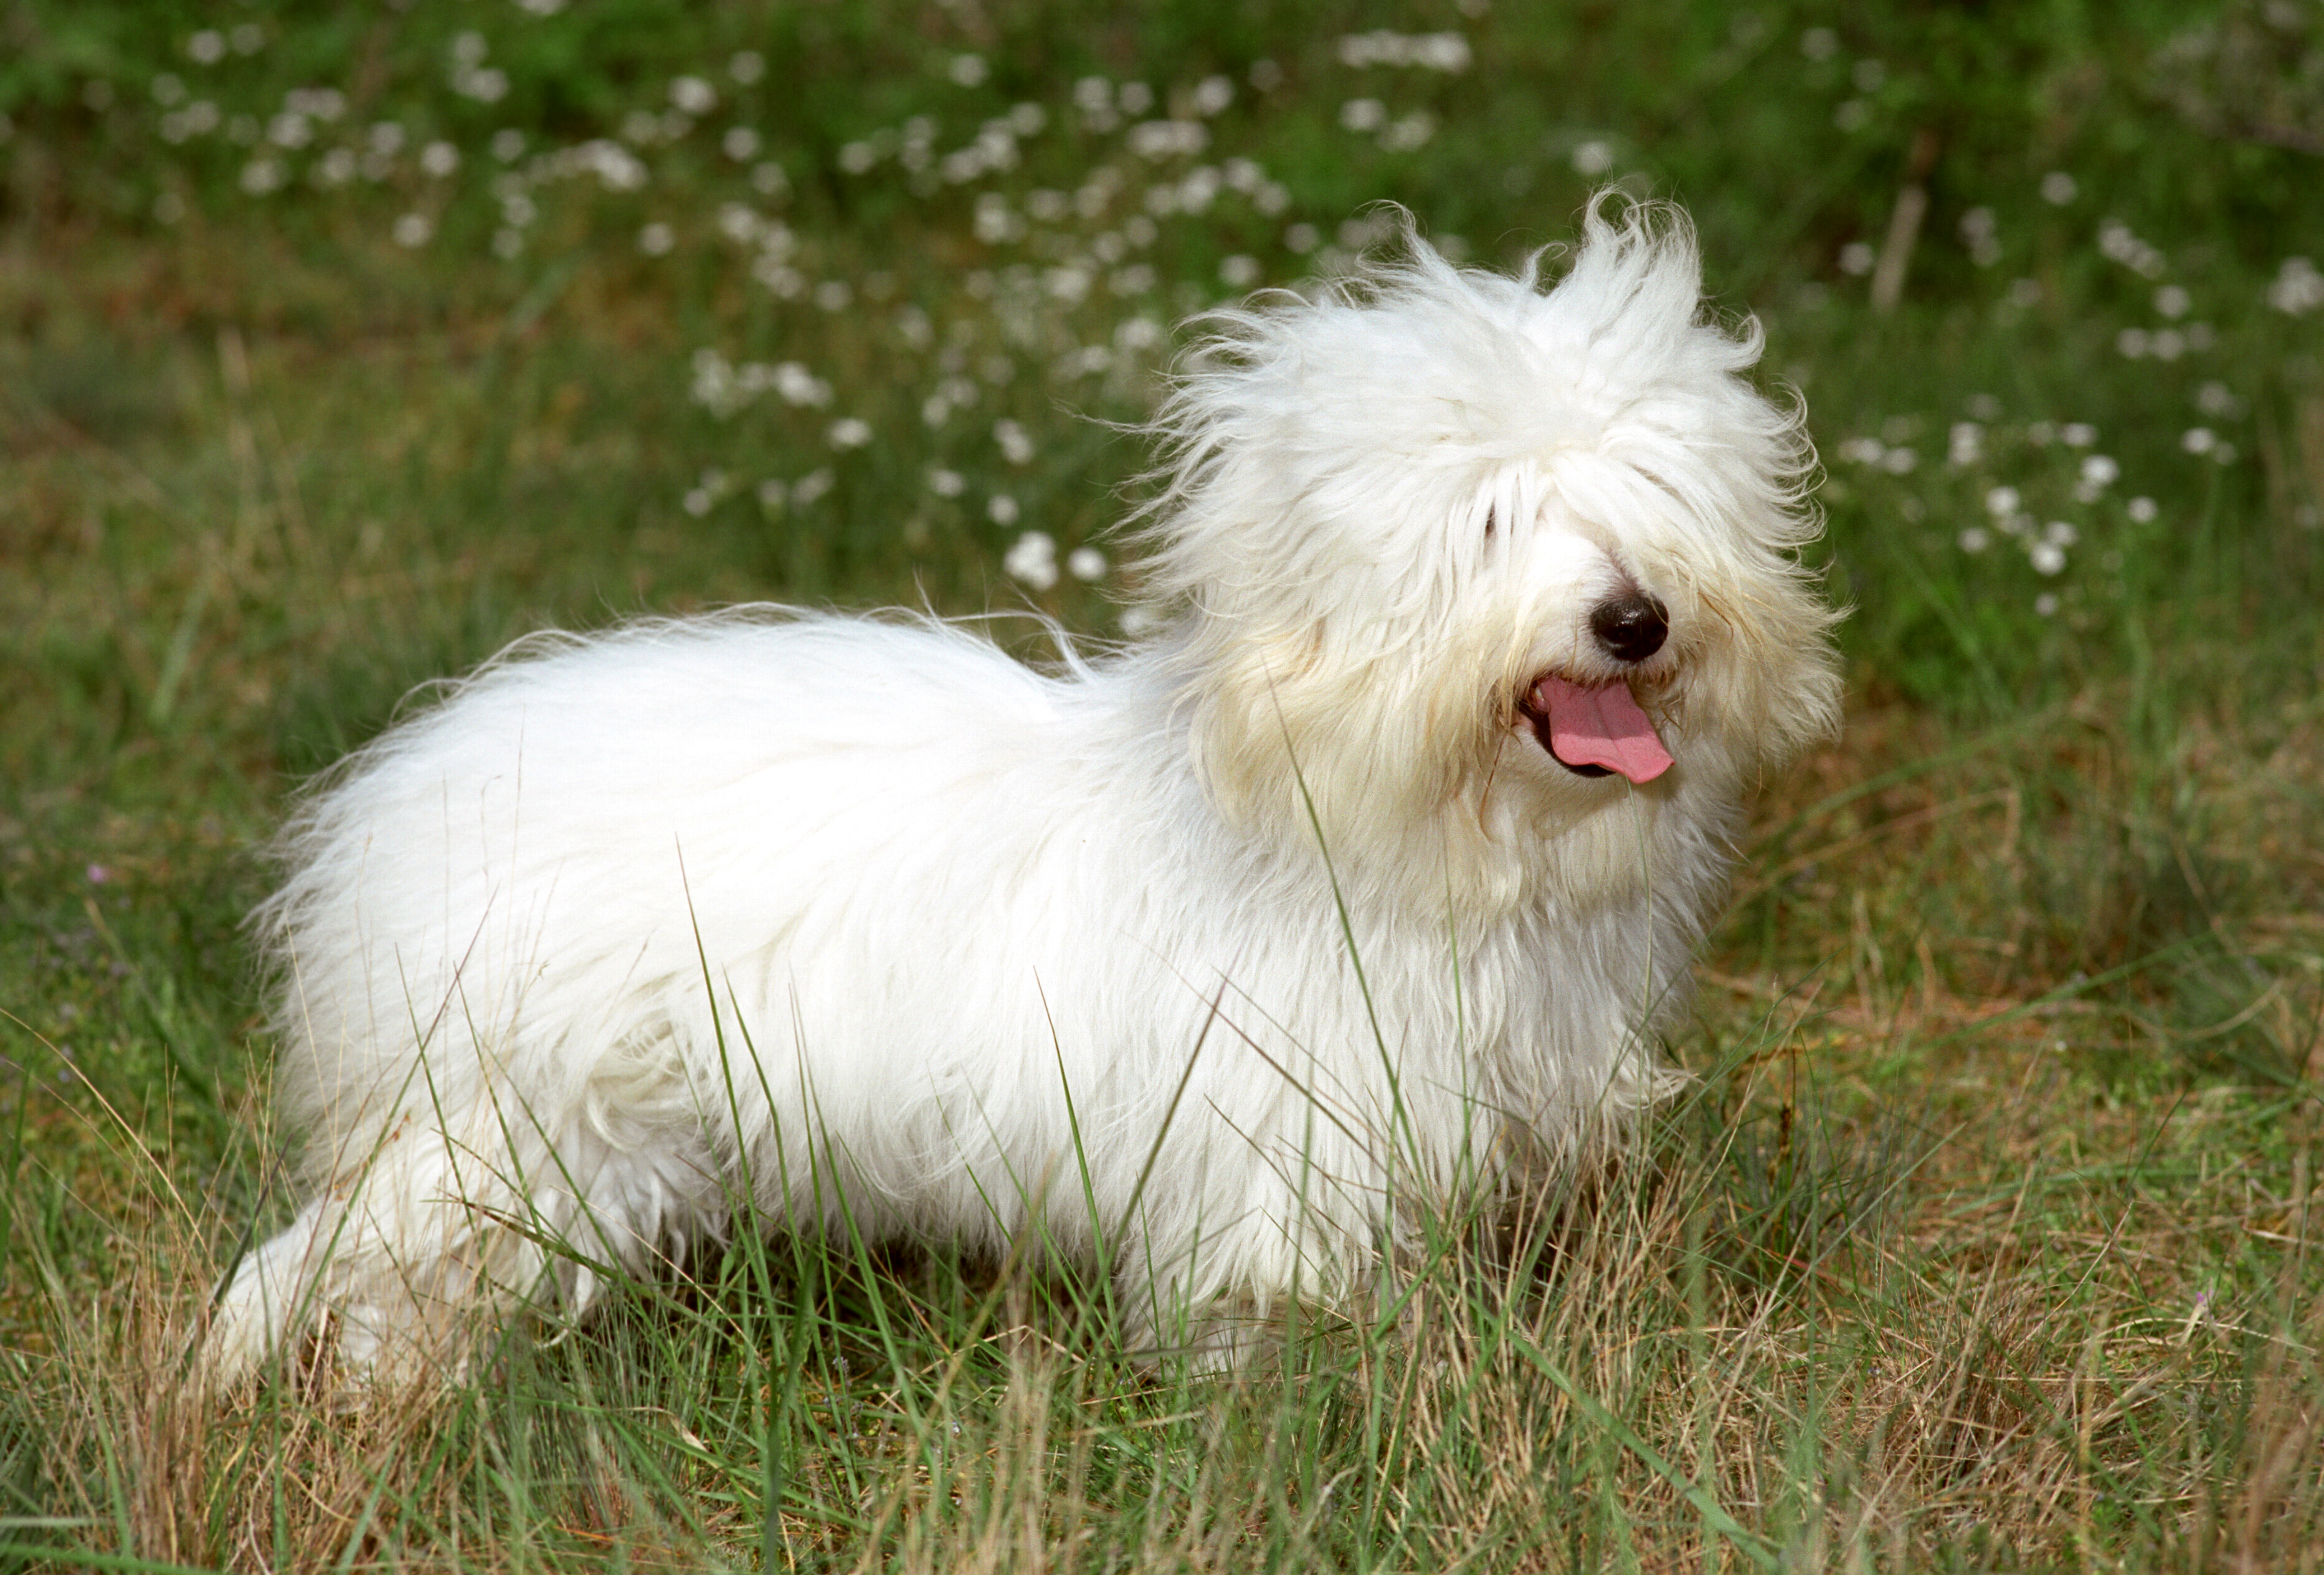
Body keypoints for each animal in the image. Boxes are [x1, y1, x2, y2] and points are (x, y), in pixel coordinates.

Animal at [204, 203, 1831, 1384]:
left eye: (1649, 501)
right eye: (1491, 520)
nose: (1634, 620)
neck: (1360, 828)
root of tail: (420, 784)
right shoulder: (1271, 1158)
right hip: (518, 1125)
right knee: (369, 1272)